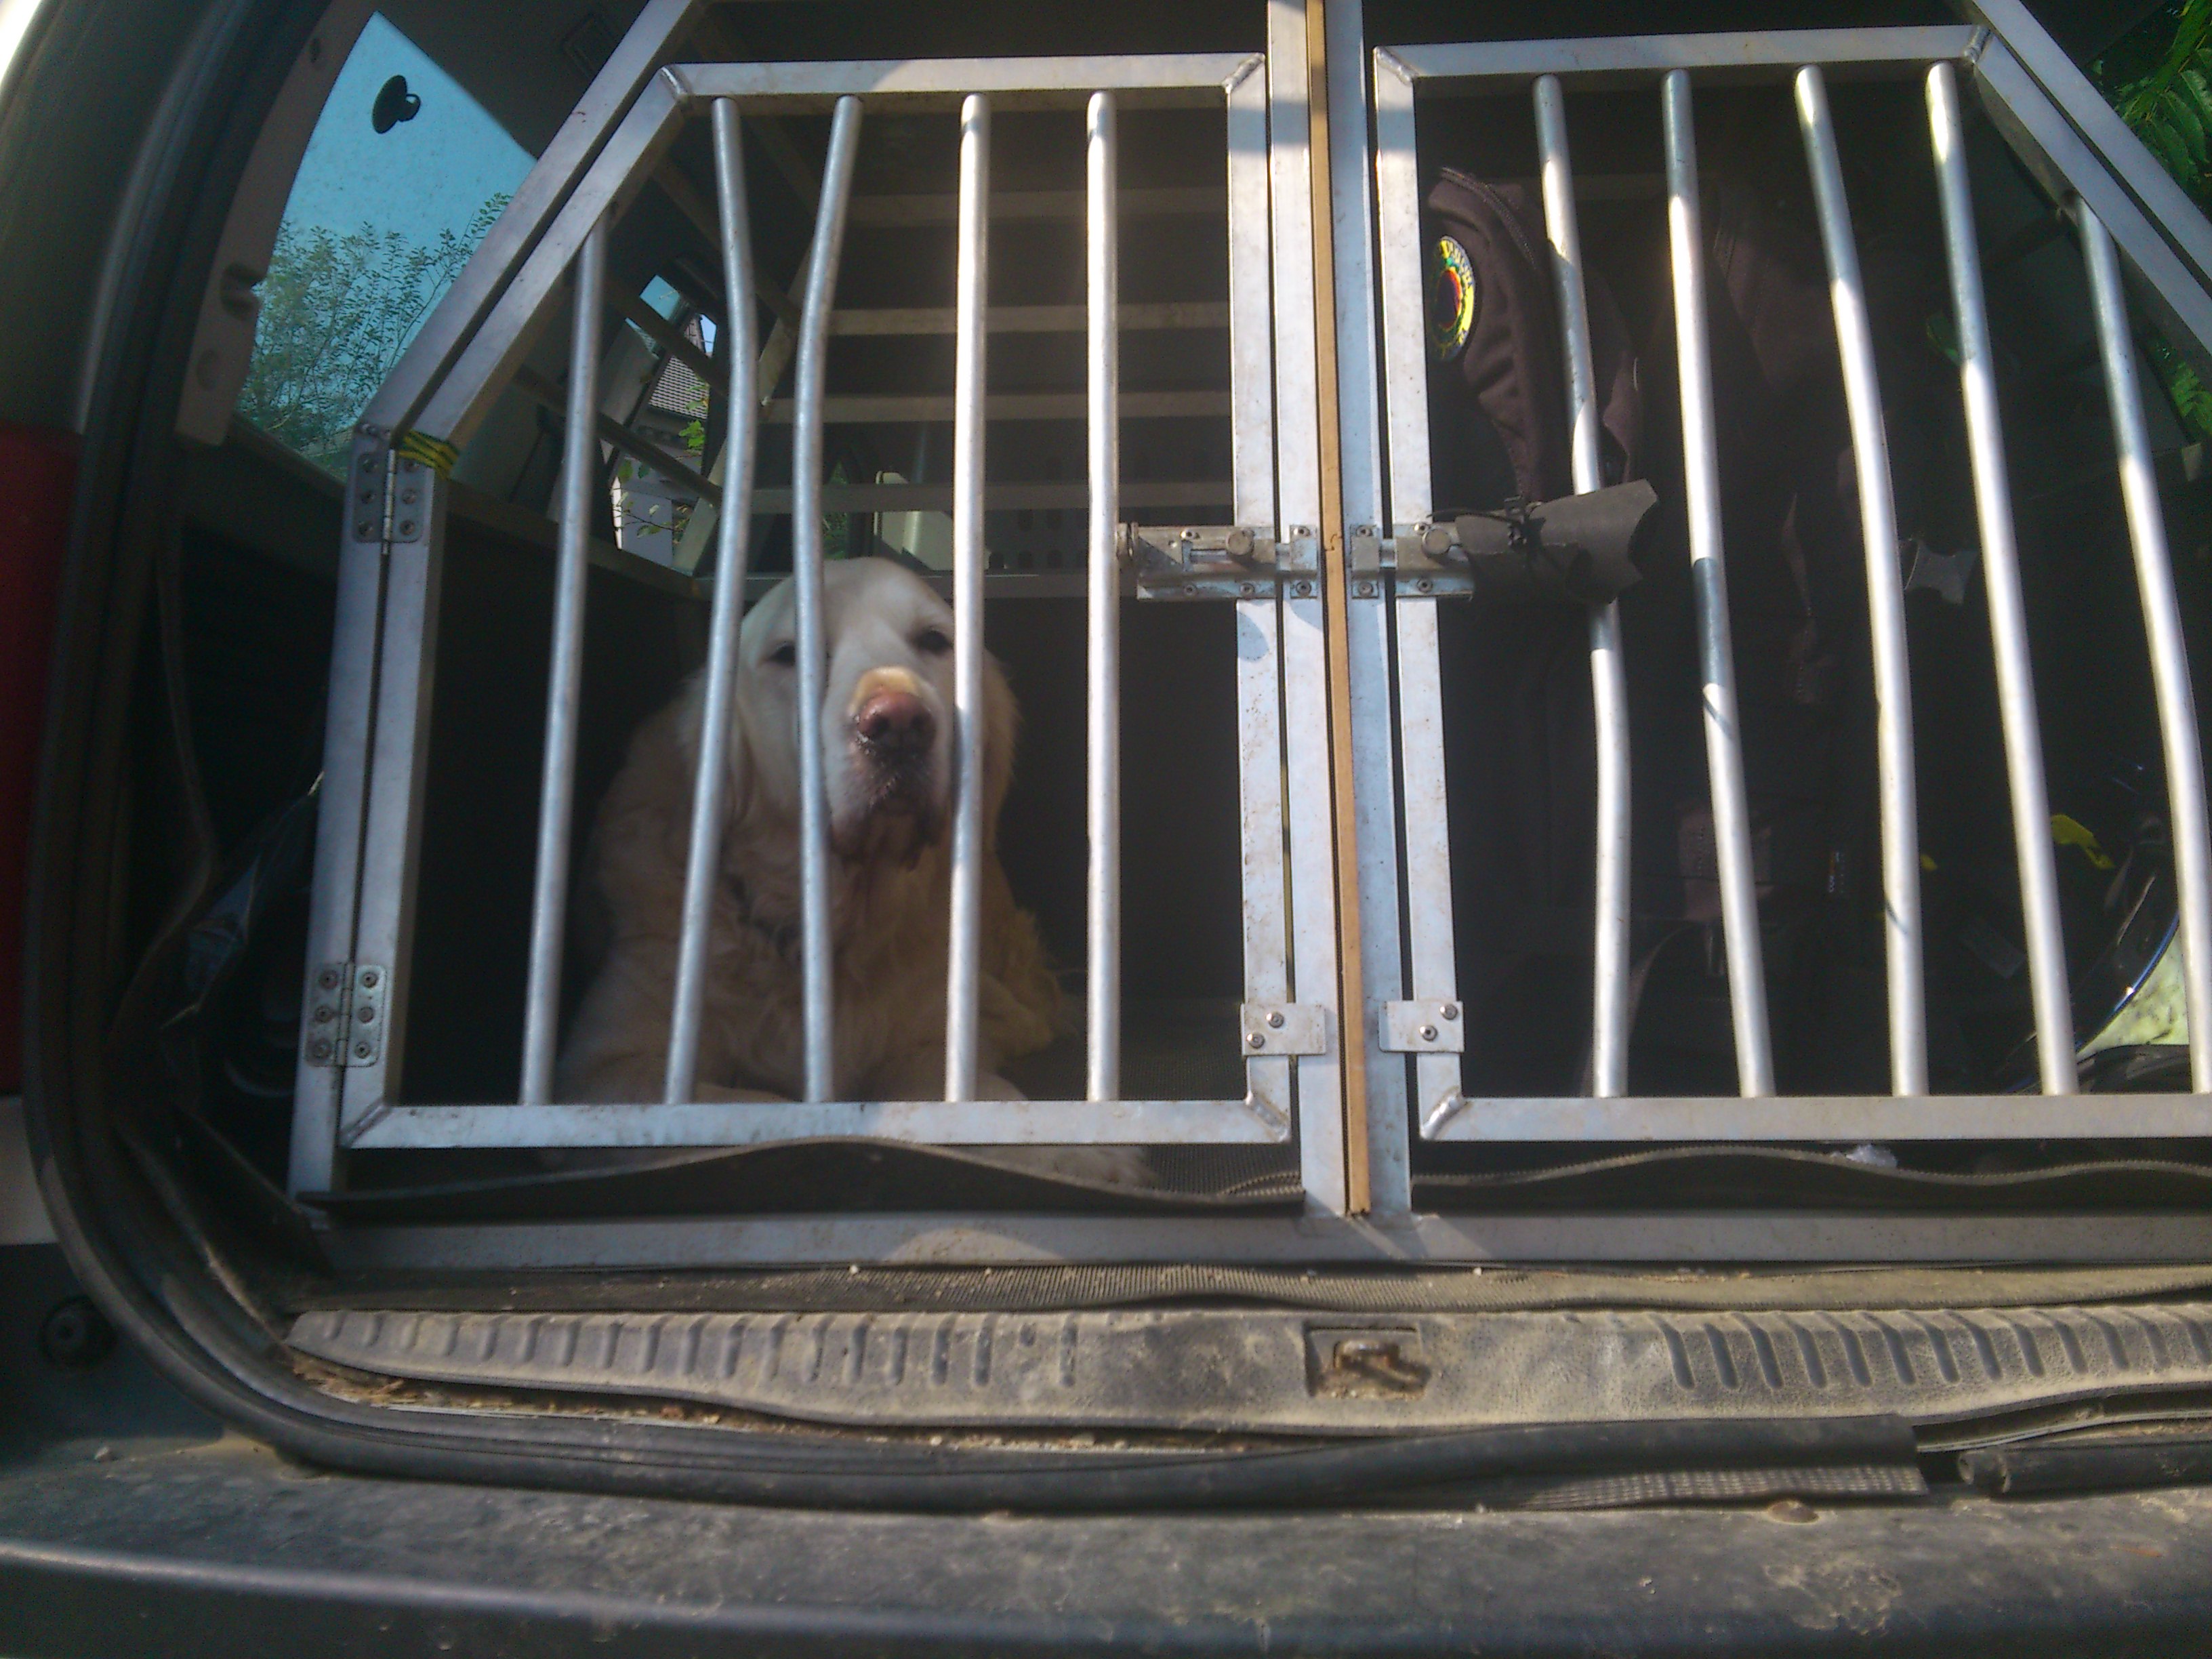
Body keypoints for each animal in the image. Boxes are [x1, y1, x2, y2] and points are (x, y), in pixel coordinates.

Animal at [557, 557, 1144, 1184]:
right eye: (789, 654)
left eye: (934, 641)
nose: (898, 723)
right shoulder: (601, 1070)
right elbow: (747, 1110)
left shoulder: (927, 1039)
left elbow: (976, 1094)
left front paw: (1073, 1146)